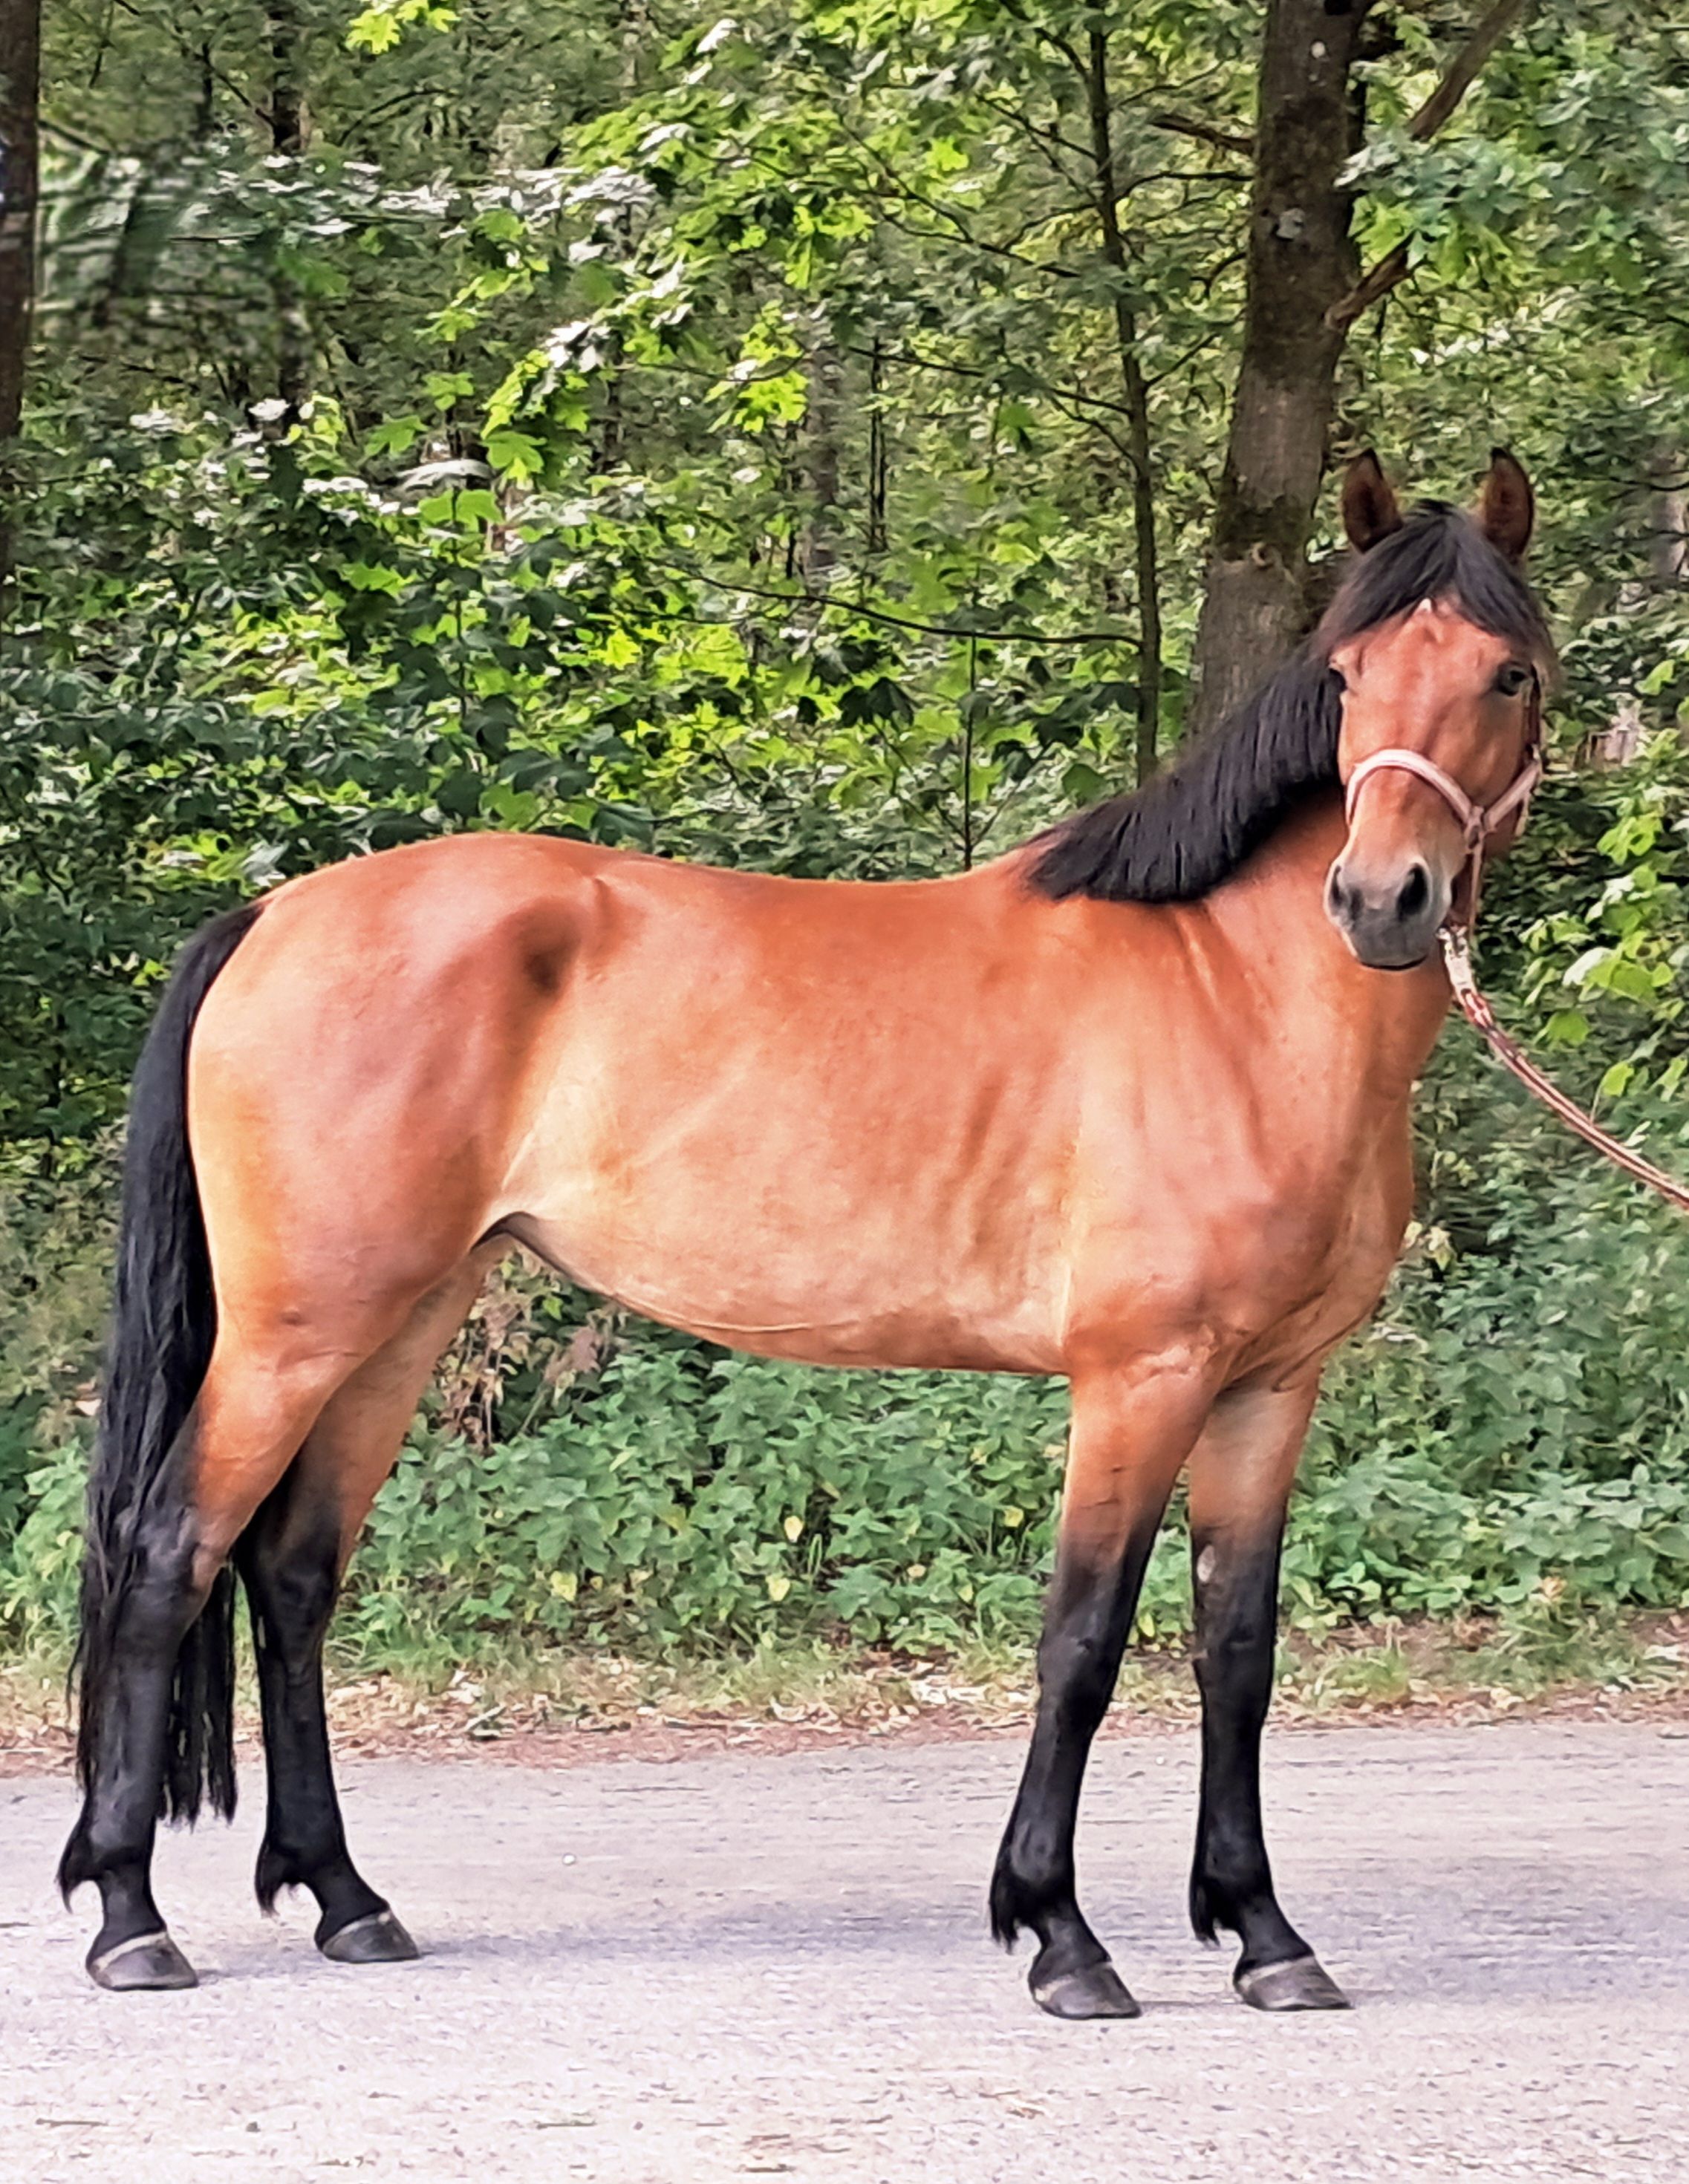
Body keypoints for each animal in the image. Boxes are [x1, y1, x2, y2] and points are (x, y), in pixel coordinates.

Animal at [59, 450, 1552, 2014]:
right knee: (166, 1556)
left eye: (1504, 671)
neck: (1232, 992)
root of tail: (271, 912)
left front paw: (1262, 1932)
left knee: (292, 1578)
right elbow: (1081, 1643)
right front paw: (1057, 1934)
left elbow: (1236, 1648)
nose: (1377, 900)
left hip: (399, 1322)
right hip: (294, 1335)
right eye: (1345, 675)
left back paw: (345, 1897)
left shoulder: (1268, 1388)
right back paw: (129, 1919)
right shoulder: (1139, 1380)